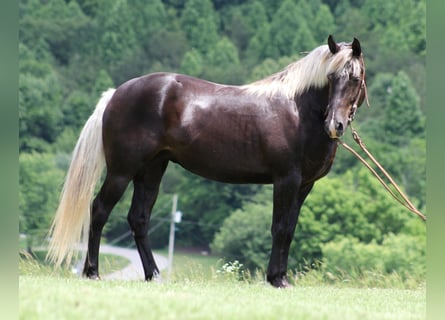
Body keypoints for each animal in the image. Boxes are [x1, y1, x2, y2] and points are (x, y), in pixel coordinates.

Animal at [46, 35, 364, 288]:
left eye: (355, 79)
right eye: (331, 77)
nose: (335, 125)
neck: (298, 111)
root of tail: (116, 94)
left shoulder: (304, 185)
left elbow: (290, 230)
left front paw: (281, 277)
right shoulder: (286, 180)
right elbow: (280, 229)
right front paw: (276, 279)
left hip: (152, 170)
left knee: (138, 218)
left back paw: (154, 275)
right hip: (121, 172)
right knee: (99, 211)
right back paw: (92, 272)